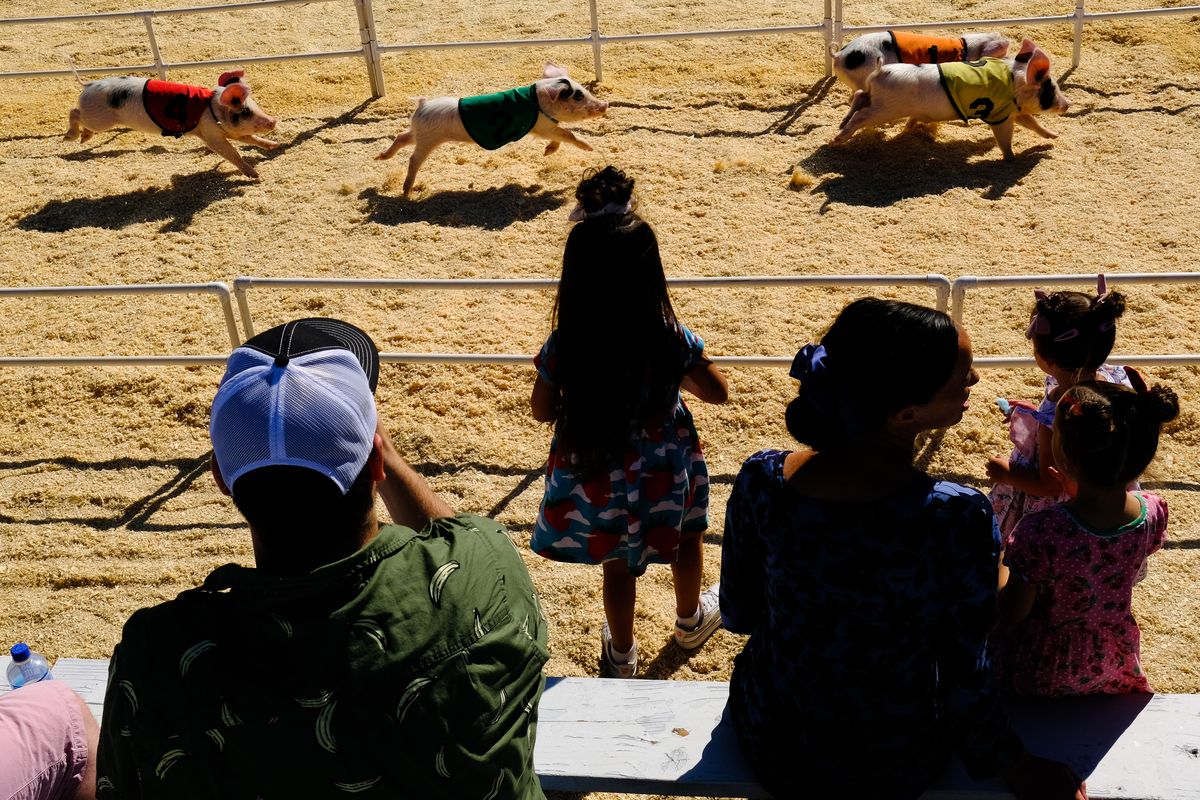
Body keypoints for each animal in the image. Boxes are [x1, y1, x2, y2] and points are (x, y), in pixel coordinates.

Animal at [66, 70, 280, 179]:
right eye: (246, 111)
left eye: (256, 105)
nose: (273, 121)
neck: (213, 109)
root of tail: (89, 85)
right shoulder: (211, 135)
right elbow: (231, 153)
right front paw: (256, 176)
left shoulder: (229, 132)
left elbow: (251, 139)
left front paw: (273, 145)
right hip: (99, 120)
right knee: (74, 111)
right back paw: (70, 138)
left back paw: (84, 139)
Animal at [376, 61, 609, 195]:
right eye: (578, 96)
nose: (605, 104)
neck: (537, 101)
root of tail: (423, 105)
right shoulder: (541, 126)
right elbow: (567, 134)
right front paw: (590, 148)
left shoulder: (545, 127)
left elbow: (559, 137)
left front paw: (547, 153)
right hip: (428, 140)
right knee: (413, 159)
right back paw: (407, 193)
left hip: (419, 133)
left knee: (401, 137)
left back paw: (379, 157)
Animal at [835, 38, 1070, 160]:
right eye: (1051, 90)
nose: (1069, 105)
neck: (1014, 81)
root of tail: (881, 71)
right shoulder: (1000, 114)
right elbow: (1005, 138)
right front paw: (1011, 158)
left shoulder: (1014, 111)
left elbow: (1033, 123)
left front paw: (1054, 137)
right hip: (885, 109)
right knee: (860, 115)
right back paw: (838, 139)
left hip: (875, 98)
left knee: (859, 96)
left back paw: (840, 124)